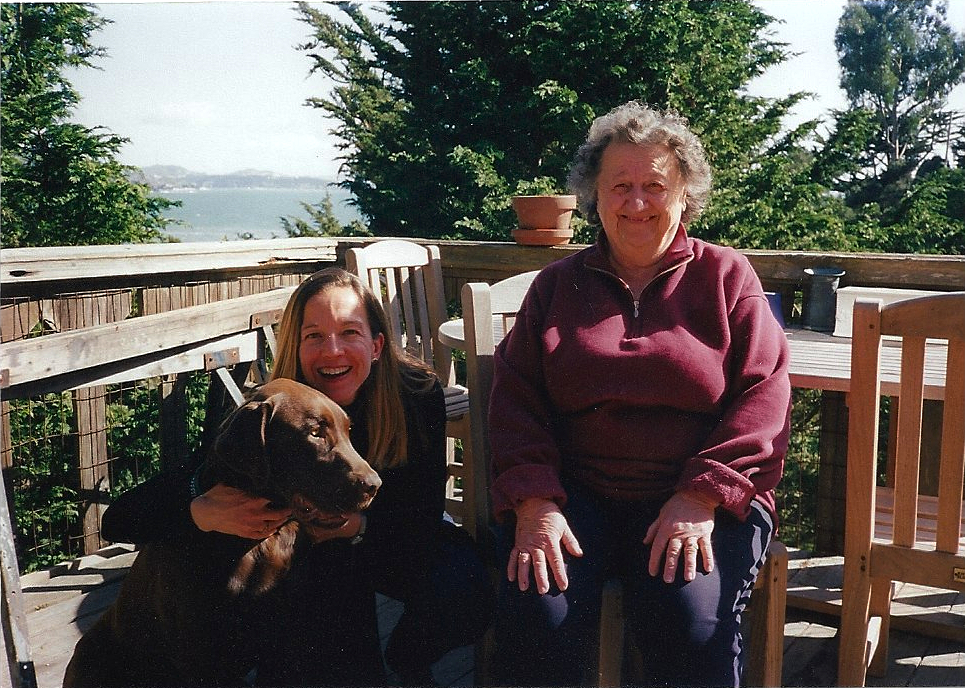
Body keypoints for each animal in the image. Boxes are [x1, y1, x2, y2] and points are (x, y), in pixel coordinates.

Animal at [63, 378, 381, 687]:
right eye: (315, 432)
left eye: (348, 431)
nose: (374, 485)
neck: (256, 543)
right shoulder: (201, 659)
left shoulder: (282, 641)